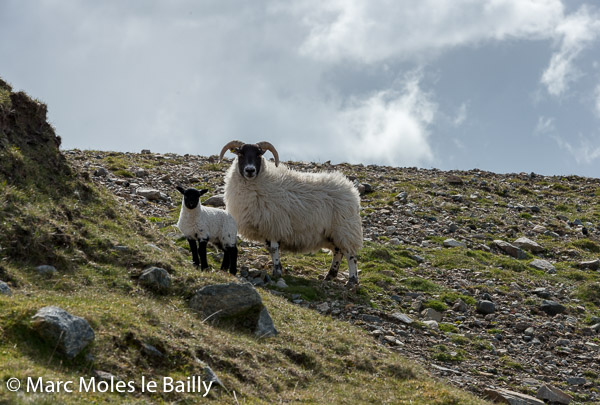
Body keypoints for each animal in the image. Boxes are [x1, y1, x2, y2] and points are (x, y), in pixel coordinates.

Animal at [219, 140, 364, 286]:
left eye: (259, 154)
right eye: (240, 154)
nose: (250, 170)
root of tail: (350, 188)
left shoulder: (274, 224)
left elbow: (274, 249)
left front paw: (277, 271)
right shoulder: (267, 227)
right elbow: (270, 250)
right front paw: (277, 269)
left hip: (345, 228)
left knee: (350, 254)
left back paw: (352, 280)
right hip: (333, 232)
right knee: (338, 251)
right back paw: (330, 275)